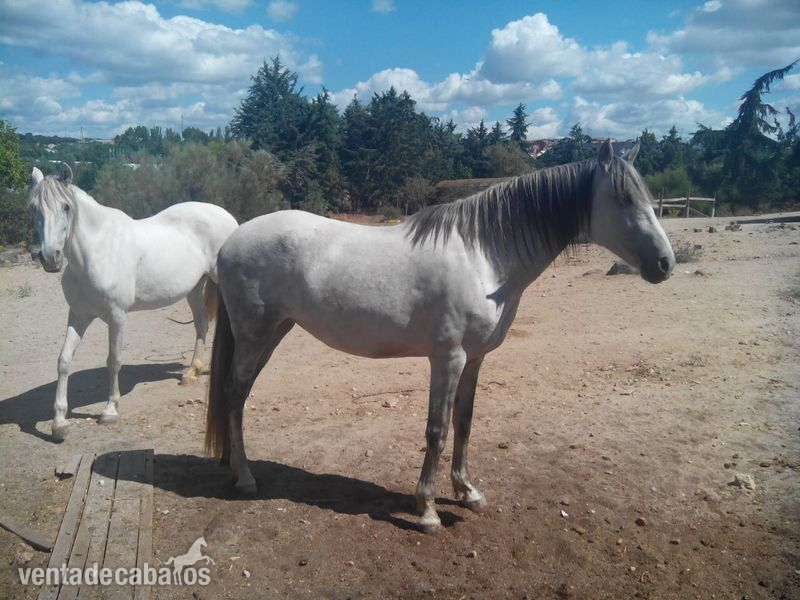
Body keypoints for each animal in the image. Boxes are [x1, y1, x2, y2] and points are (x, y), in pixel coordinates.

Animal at [29, 165, 238, 440]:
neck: (97, 251)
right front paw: (59, 423)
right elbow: (64, 360)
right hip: (194, 287)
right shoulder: (78, 315)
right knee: (201, 323)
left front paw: (110, 410)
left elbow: (113, 359)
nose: (50, 258)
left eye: (65, 207)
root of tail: (228, 216)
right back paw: (191, 373)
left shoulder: (117, 317)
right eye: (33, 208)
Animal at [204, 140, 675, 533]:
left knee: (237, 395)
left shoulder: (475, 359)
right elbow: (438, 429)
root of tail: (231, 240)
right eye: (623, 198)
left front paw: (467, 493)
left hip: (272, 334)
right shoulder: (448, 358)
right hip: (255, 335)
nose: (665, 263)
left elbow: (464, 423)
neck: (483, 256)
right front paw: (427, 509)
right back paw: (244, 478)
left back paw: (232, 465)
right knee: (234, 392)